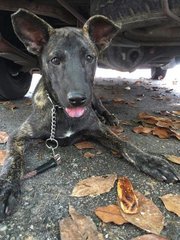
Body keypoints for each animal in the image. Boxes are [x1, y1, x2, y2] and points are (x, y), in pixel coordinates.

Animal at [0, 8, 179, 219]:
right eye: (55, 60)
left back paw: (109, 117)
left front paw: (152, 162)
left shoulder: (99, 129)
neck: (62, 114)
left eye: (89, 57)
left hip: (95, 97)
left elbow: (125, 144)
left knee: (101, 107)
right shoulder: (17, 136)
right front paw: (7, 188)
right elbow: (13, 160)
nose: (77, 99)